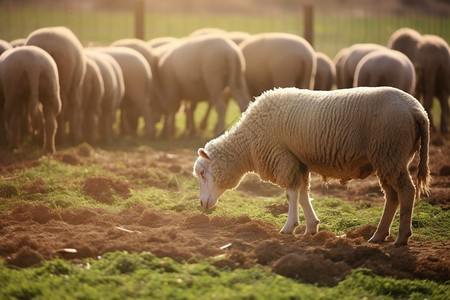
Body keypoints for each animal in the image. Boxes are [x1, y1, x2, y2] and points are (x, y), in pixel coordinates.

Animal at [194, 86, 432, 246]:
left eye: (203, 173)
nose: (202, 204)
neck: (248, 143)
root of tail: (418, 111)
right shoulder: (298, 161)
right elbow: (302, 194)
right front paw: (311, 227)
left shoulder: (282, 157)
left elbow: (291, 194)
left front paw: (289, 227)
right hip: (389, 157)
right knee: (392, 196)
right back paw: (378, 236)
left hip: (390, 152)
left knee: (406, 191)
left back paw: (401, 237)